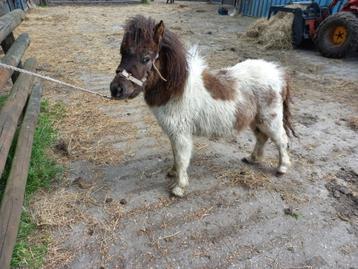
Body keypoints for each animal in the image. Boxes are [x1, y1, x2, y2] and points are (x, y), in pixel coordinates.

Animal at [110, 16, 296, 197]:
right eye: (122, 53)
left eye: (146, 58)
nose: (116, 89)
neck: (177, 89)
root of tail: (278, 73)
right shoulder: (173, 133)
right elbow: (175, 155)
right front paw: (173, 172)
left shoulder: (181, 134)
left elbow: (182, 158)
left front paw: (179, 188)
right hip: (255, 119)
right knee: (262, 137)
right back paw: (252, 159)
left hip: (270, 119)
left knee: (281, 139)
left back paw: (282, 168)